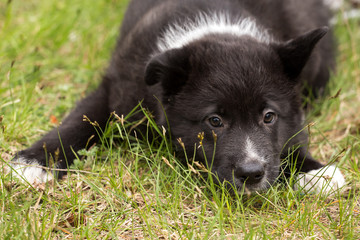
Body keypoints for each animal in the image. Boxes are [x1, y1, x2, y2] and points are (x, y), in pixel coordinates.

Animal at [9, 0, 344, 194]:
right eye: (215, 121)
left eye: (269, 117)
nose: (251, 174)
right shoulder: (116, 86)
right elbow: (82, 119)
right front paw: (37, 160)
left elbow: (292, 136)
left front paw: (313, 170)